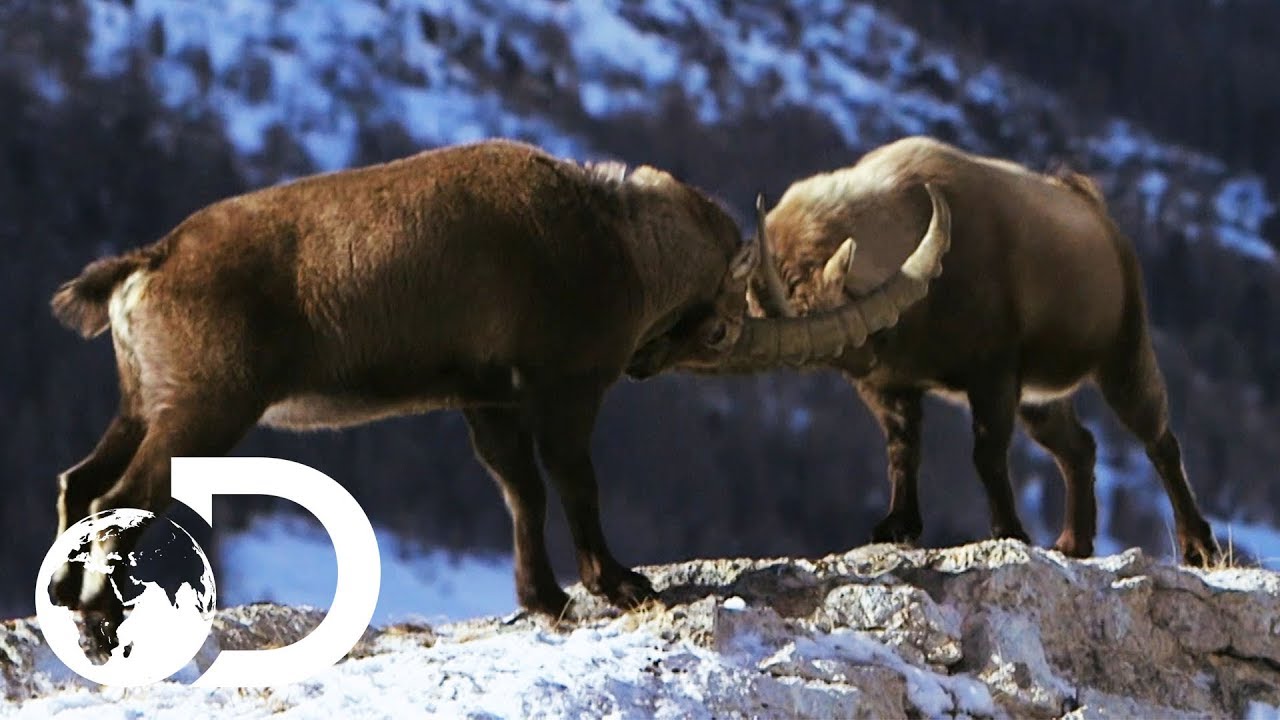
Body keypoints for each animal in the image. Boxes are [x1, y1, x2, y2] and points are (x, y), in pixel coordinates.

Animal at [50, 139, 951, 646]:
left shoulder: (485, 395)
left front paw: (544, 597)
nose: (650, 364)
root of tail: (148, 263)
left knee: (81, 483)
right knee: (120, 494)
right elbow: (574, 481)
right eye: (723, 327)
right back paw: (96, 622)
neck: (624, 241)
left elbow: (519, 488)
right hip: (206, 406)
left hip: (145, 401)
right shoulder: (567, 382)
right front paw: (616, 582)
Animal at [750, 136, 1216, 565]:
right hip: (1039, 399)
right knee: (1080, 447)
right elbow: (902, 448)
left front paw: (1009, 531)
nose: (867, 360)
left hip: (1123, 350)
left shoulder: (992, 372)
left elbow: (986, 453)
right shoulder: (893, 386)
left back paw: (1197, 545)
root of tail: (1096, 213)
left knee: (1159, 441)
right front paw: (898, 525)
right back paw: (1073, 543)